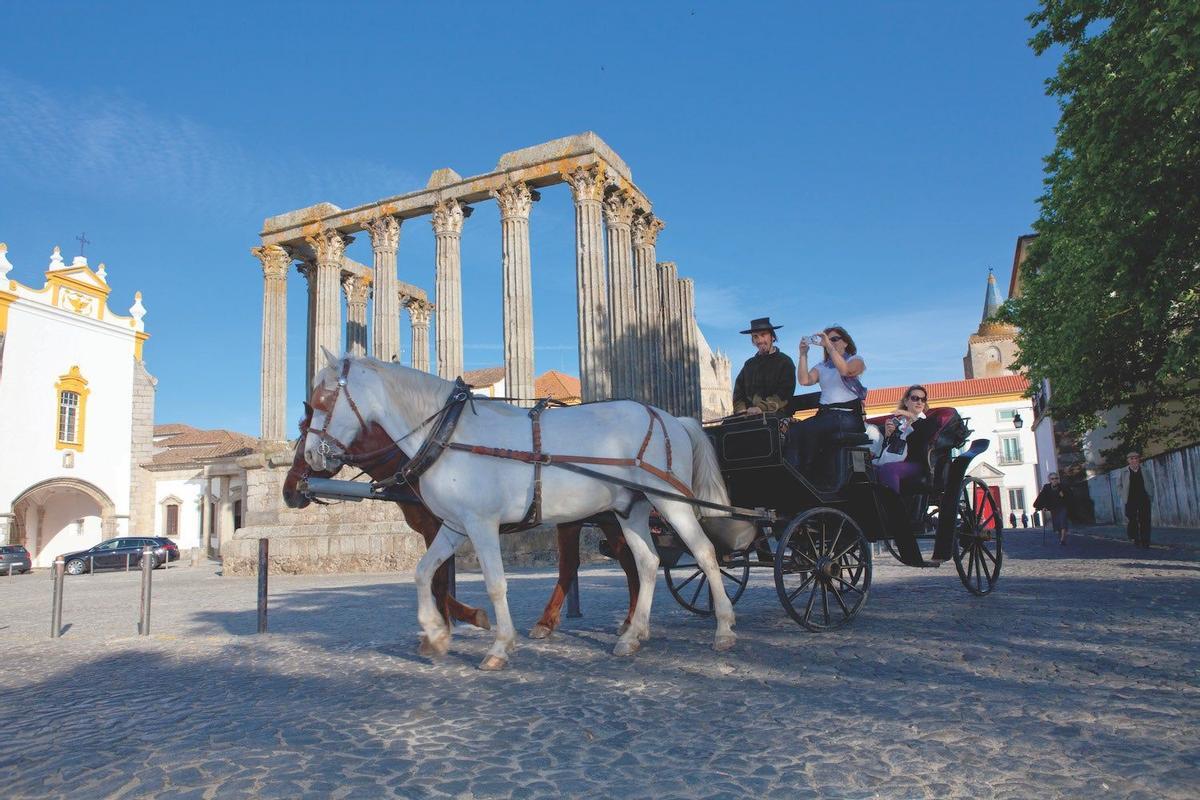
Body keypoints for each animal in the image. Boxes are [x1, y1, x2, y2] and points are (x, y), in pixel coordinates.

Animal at [282, 407, 643, 638]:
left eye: (305, 439)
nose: (288, 491)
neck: (418, 457)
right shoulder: (443, 529)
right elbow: (436, 578)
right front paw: (450, 621)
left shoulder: (438, 527)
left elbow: (439, 582)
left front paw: (461, 619)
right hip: (578, 518)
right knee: (578, 564)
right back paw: (554, 621)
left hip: (609, 518)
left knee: (627, 561)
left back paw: (629, 620)